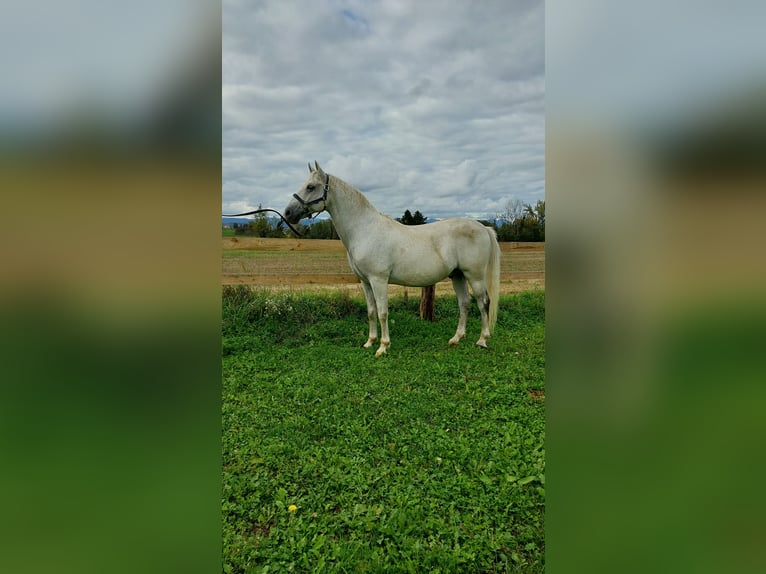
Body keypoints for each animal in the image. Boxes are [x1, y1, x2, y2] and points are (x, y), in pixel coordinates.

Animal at [284, 162, 500, 358]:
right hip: (458, 275)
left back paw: (482, 340)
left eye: (310, 186)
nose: (288, 213)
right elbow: (371, 311)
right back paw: (456, 339)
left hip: (475, 276)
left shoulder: (378, 280)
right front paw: (370, 342)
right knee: (464, 303)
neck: (365, 230)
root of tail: (483, 228)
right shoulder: (365, 282)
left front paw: (383, 347)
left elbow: (382, 312)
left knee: (483, 302)